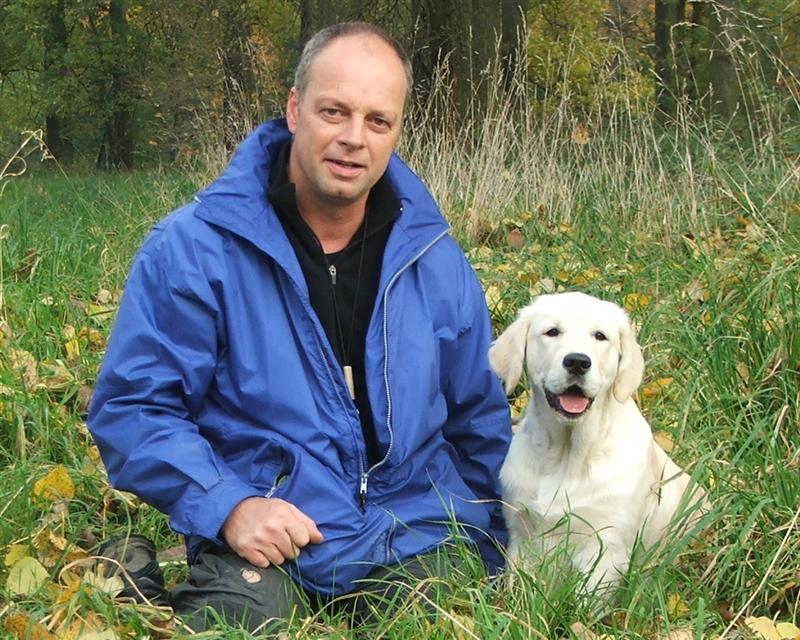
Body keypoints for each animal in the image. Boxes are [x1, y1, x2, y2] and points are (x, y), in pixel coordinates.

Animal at [489, 292, 706, 596]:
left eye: (600, 336)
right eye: (552, 332)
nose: (578, 362)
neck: (567, 454)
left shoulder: (604, 547)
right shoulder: (522, 534)